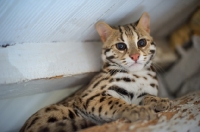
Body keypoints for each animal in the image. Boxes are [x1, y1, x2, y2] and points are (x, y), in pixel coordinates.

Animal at [20, 12, 171, 132]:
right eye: (121, 46)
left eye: (142, 43)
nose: (135, 56)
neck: (138, 75)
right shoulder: (90, 96)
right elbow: (116, 102)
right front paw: (136, 110)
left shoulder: (142, 94)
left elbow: (147, 97)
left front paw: (159, 100)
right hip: (61, 110)